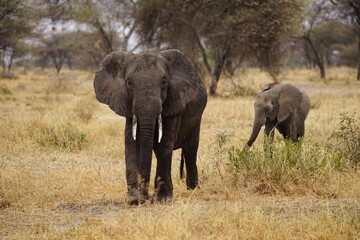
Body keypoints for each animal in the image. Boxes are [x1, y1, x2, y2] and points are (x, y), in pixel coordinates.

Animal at [93, 48, 207, 204]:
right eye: (129, 83)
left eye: (164, 81)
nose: (145, 196)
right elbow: (132, 144)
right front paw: (134, 199)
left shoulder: (175, 101)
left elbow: (164, 144)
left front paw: (161, 199)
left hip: (197, 116)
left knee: (190, 149)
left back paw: (193, 189)